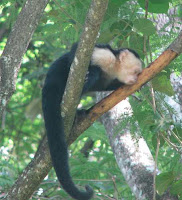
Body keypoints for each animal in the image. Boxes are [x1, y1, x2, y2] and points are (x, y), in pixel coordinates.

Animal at [42, 43, 143, 199]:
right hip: (57, 80)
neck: (114, 67)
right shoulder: (106, 55)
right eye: (136, 72)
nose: (136, 79)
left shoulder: (110, 77)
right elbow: (76, 53)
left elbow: (105, 86)